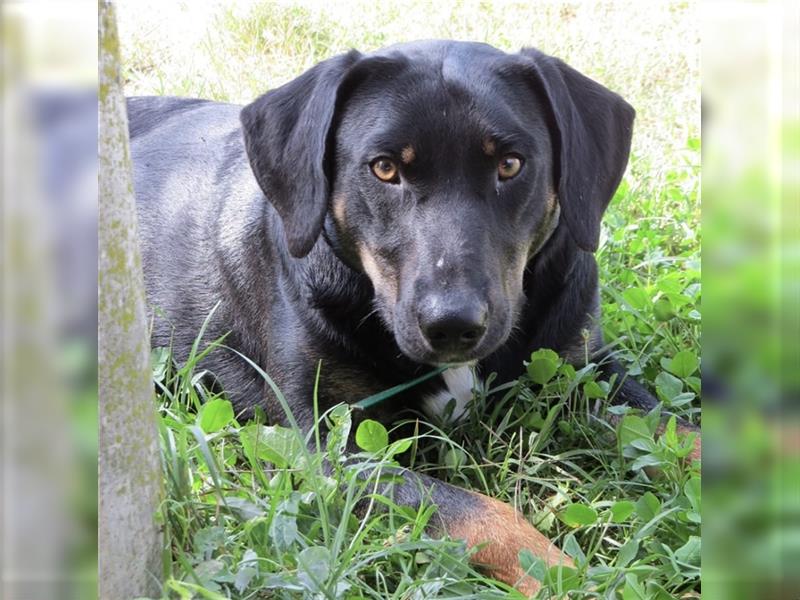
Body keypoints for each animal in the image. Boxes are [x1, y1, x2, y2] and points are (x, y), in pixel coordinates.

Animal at [128, 39, 696, 592]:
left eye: (510, 164)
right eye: (384, 169)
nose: (453, 325)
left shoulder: (587, 368)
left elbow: (678, 430)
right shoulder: (334, 447)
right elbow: (486, 515)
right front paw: (565, 577)